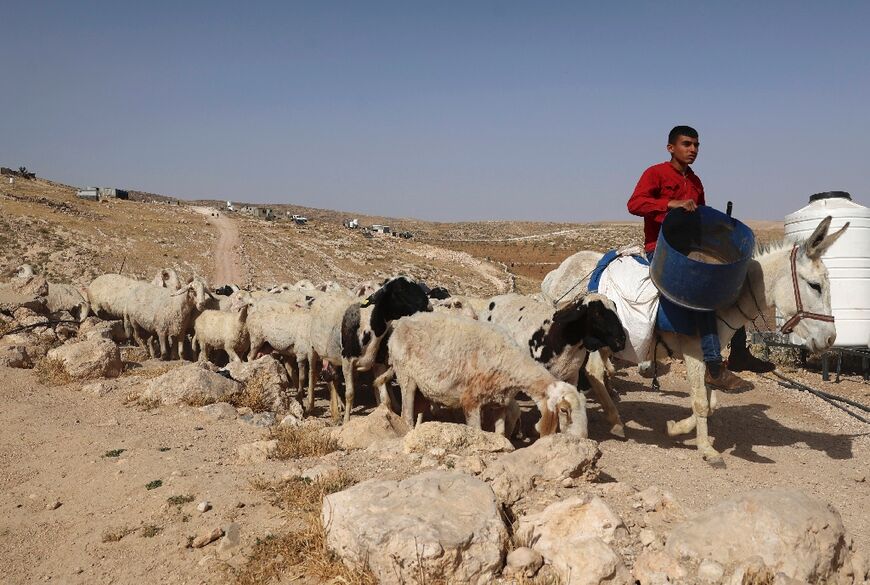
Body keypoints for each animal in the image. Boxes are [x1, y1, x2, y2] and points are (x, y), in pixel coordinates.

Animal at [384, 312, 588, 436]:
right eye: (564, 410)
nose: (581, 438)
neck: (509, 361)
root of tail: (402, 321)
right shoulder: (470, 402)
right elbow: (478, 431)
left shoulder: (500, 403)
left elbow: (501, 433)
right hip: (406, 376)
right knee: (406, 413)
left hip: (423, 386)